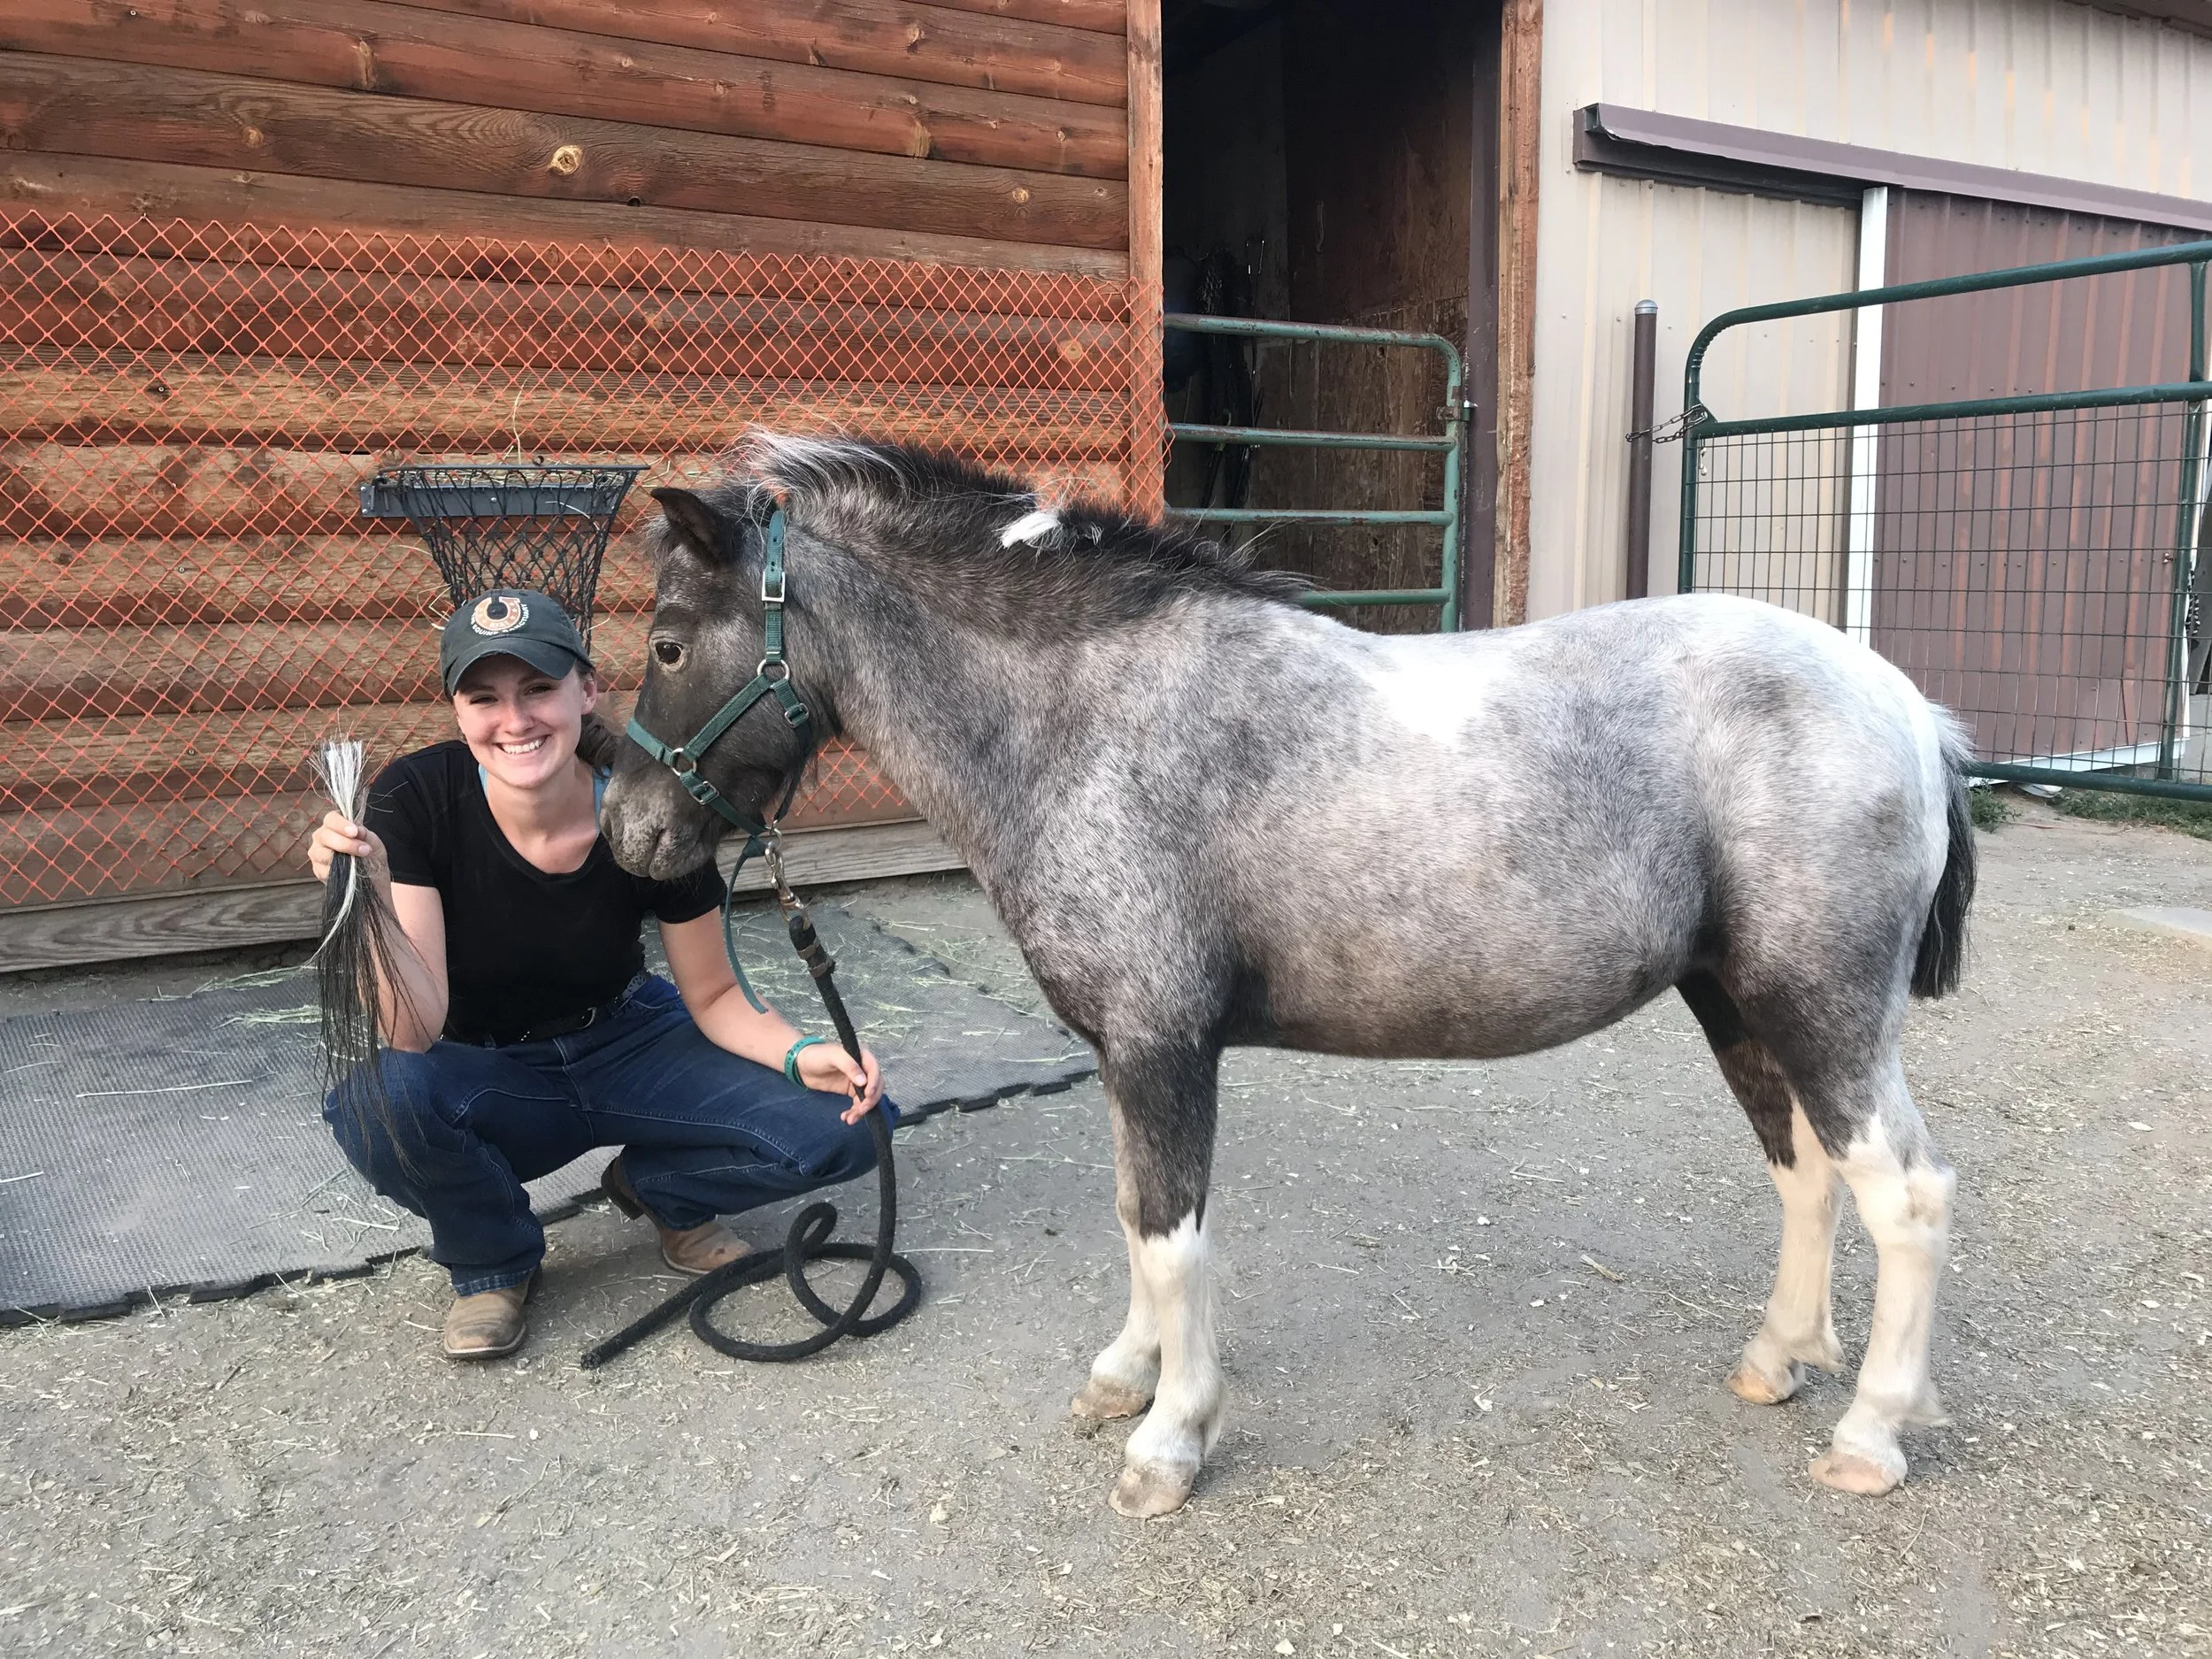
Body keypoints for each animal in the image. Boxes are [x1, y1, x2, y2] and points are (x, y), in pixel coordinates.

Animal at [600, 435, 1975, 1519]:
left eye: (665, 642)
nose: (626, 836)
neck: (1086, 724)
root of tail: (1909, 706)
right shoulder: (1124, 1054)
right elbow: (1132, 1215)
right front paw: (1126, 1375)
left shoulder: (1162, 1044)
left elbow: (1172, 1237)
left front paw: (1170, 1439)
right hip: (1736, 1002)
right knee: (1806, 1176)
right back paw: (1778, 1359)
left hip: (1822, 1009)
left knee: (1905, 1198)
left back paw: (1869, 1433)